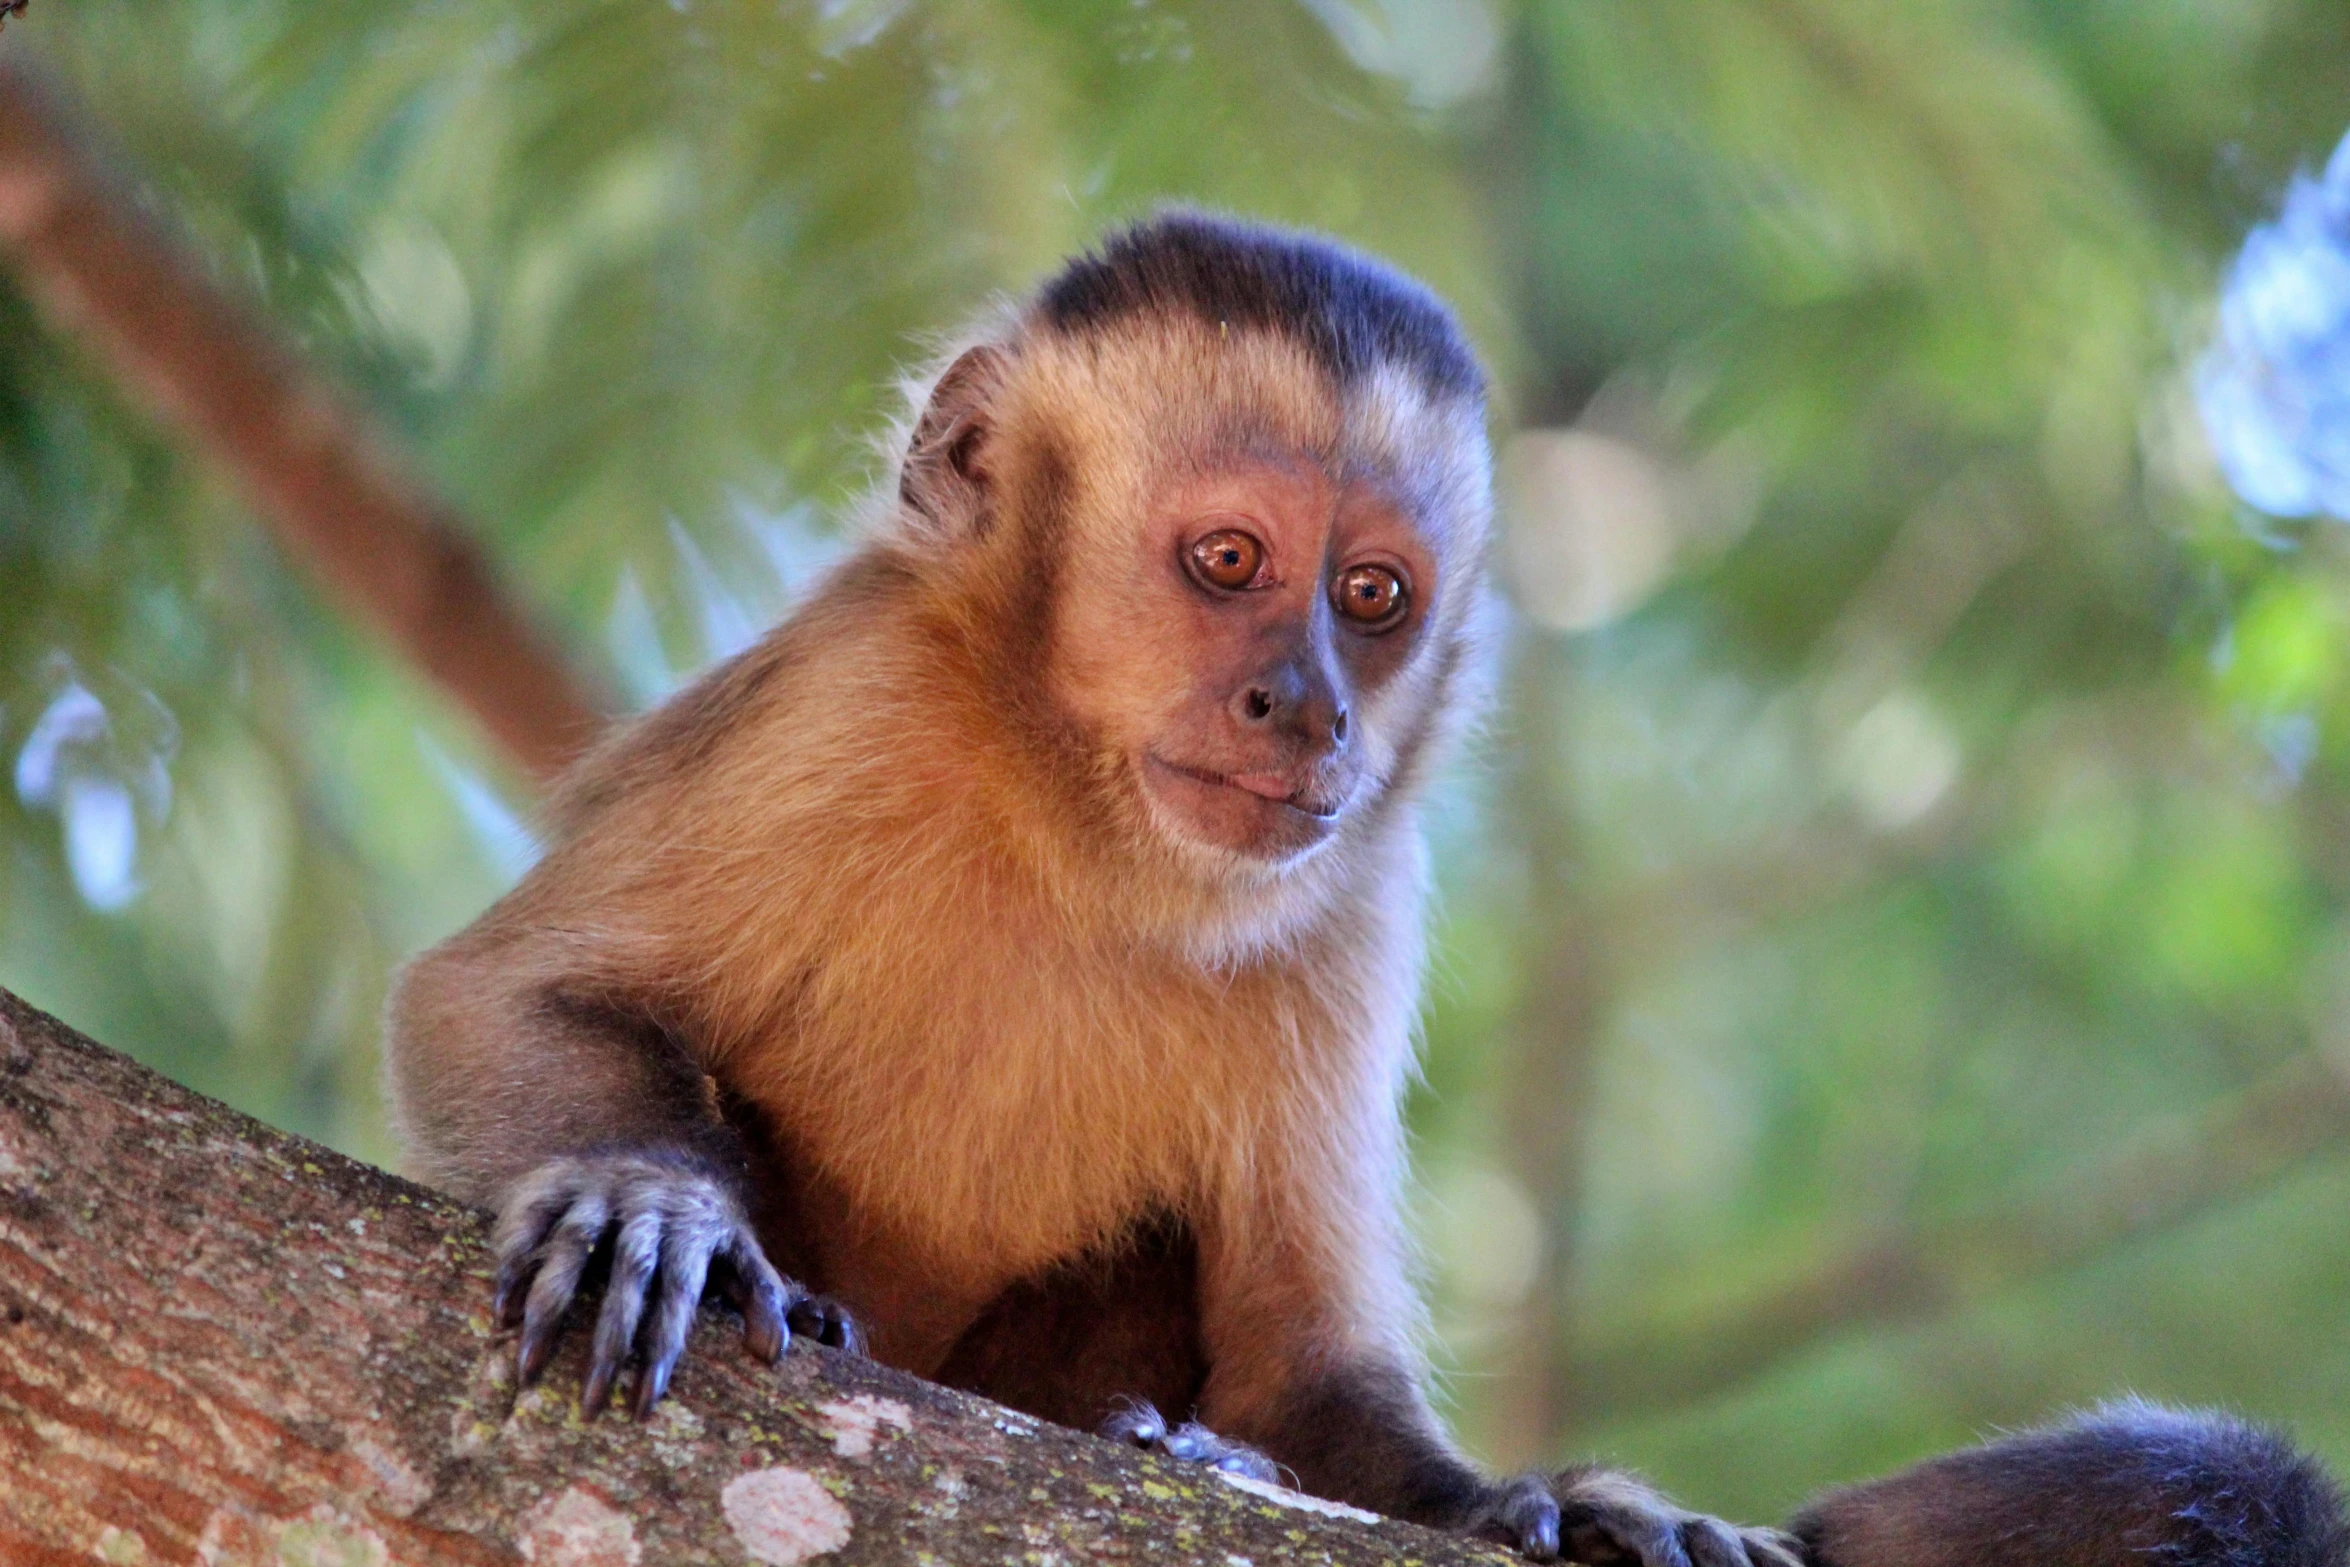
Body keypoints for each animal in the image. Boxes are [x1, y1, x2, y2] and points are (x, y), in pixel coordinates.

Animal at [390, 211, 2350, 1567]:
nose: (1307, 705)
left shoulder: (1356, 887)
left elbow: (1304, 1366)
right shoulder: (852, 692)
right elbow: (499, 995)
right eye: (1227, 562)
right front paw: (650, 1203)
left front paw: (1545, 1500)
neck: (1071, 811)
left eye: (1376, 597)